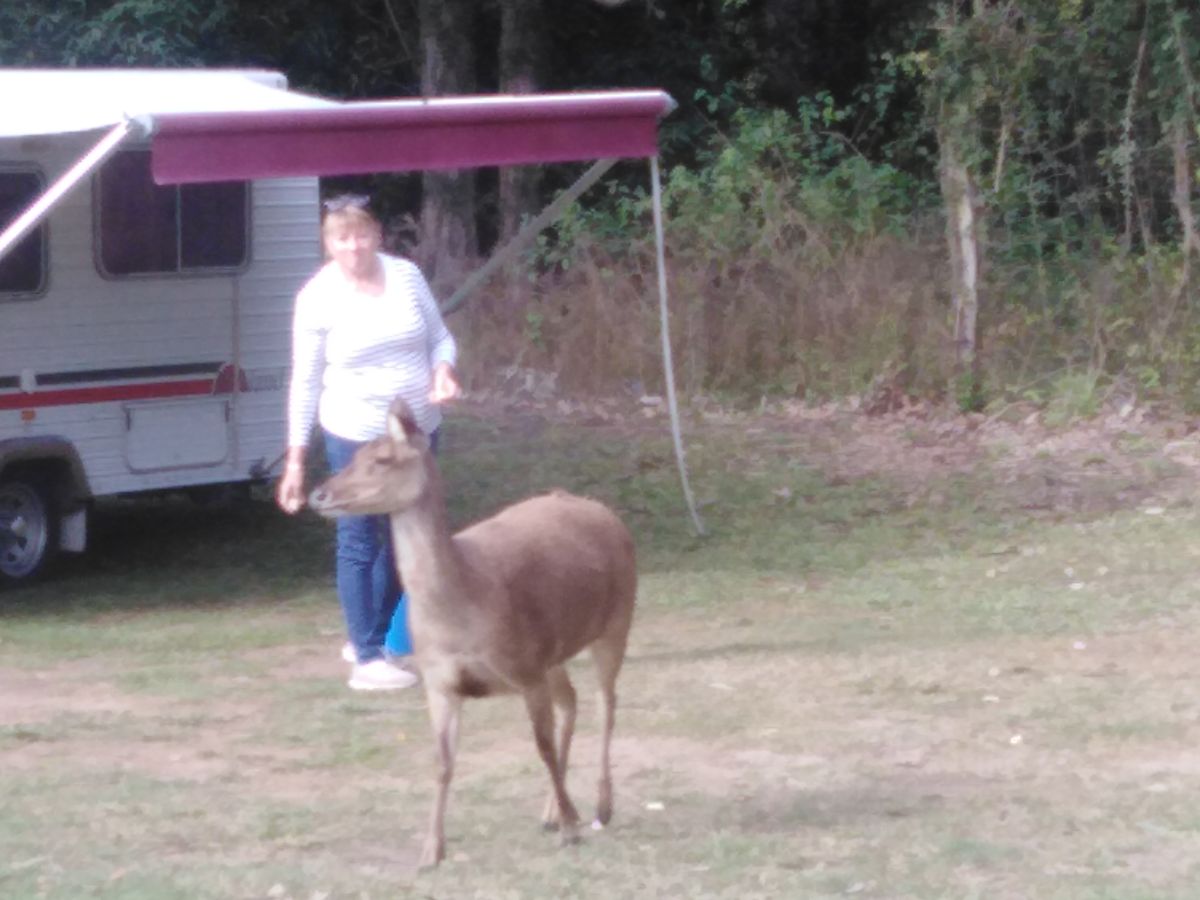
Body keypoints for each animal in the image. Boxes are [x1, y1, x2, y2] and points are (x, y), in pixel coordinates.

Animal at [307, 396, 638, 869]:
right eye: (351, 456)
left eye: (383, 459)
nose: (318, 494)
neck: (462, 608)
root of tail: (607, 513)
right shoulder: (441, 682)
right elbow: (442, 761)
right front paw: (430, 850)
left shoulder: (524, 667)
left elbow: (541, 746)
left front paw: (572, 831)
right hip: (553, 650)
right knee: (572, 701)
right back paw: (554, 811)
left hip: (617, 619)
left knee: (606, 703)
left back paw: (598, 808)